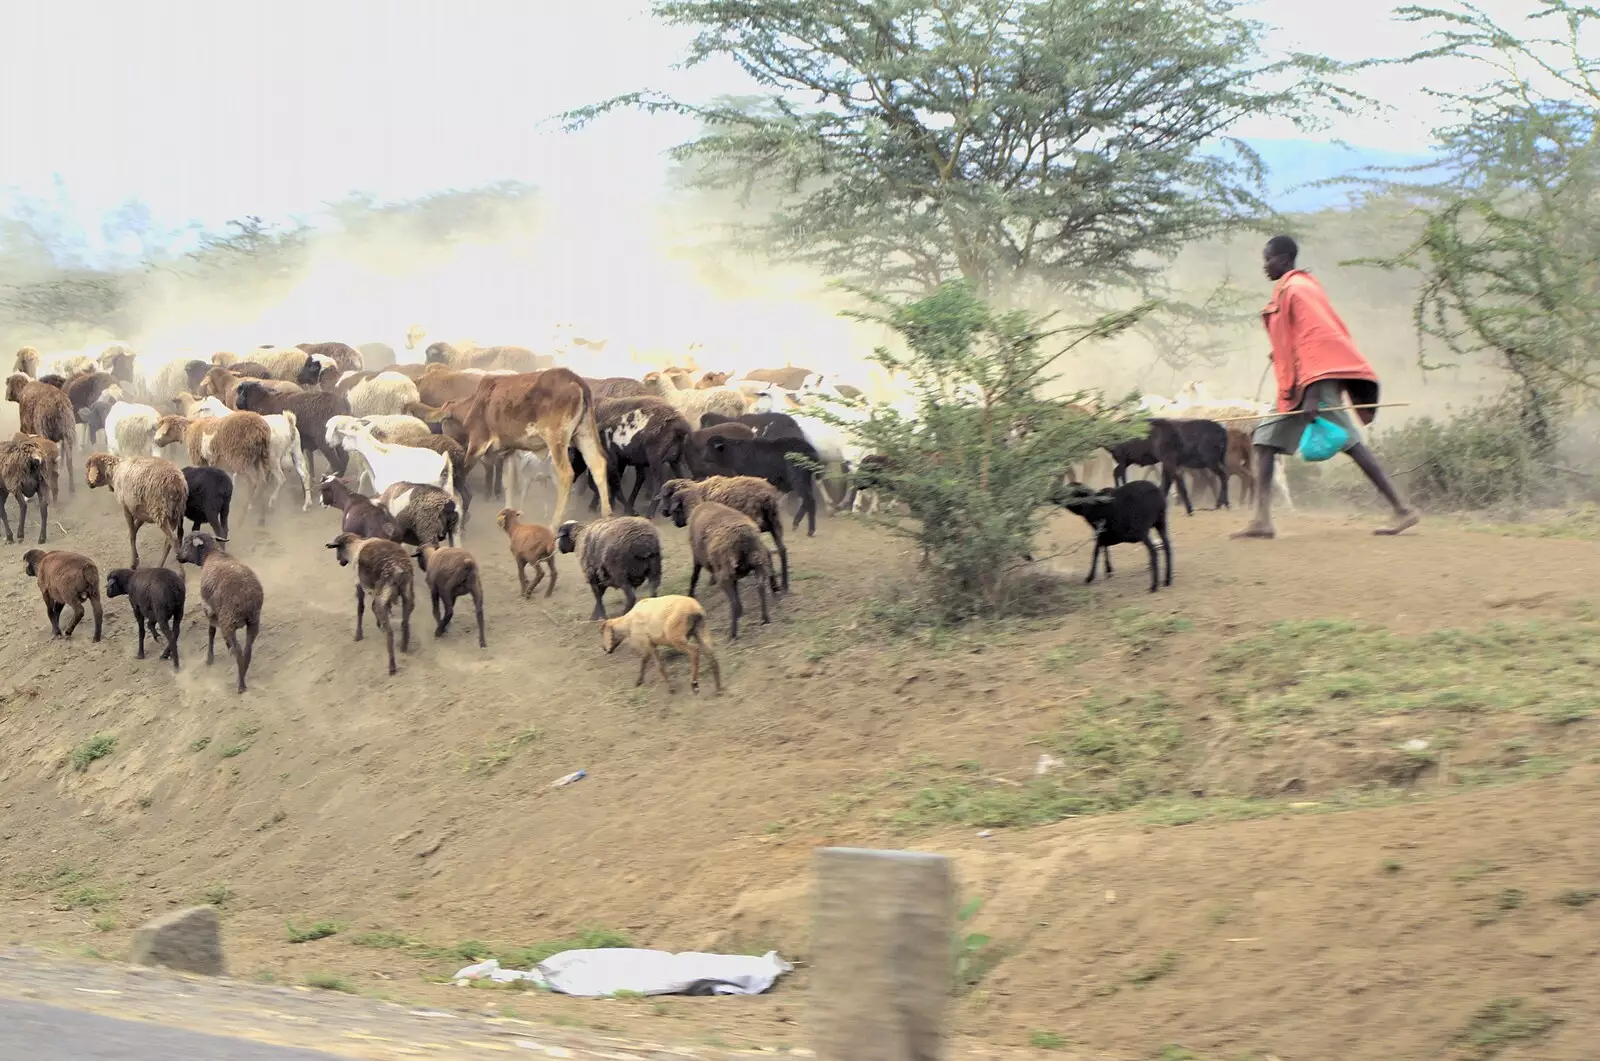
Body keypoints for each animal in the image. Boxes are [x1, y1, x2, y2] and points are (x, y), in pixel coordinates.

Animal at [175, 531, 262, 697]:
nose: (178, 556)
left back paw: (240, 684)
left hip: (228, 620)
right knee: (247, 650)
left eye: (187, 541)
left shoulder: (209, 609)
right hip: (254, 621)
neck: (212, 554)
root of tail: (247, 601)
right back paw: (242, 672)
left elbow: (211, 632)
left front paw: (210, 658)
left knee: (238, 650)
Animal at [321, 534, 412, 675]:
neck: (354, 547)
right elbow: (373, 607)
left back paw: (392, 667)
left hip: (384, 594)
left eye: (337, 549)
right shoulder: (375, 591)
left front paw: (358, 635)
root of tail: (399, 569)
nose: (339, 561)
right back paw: (403, 646)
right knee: (405, 622)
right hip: (406, 593)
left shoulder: (359, 585)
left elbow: (361, 609)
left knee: (390, 632)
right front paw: (378, 623)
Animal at [681, 499, 774, 640]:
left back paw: (733, 634)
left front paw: (690, 595)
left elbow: (694, 577)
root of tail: (744, 539)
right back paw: (765, 619)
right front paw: (741, 611)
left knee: (733, 602)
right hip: (757, 563)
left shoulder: (697, 557)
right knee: (761, 587)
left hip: (725, 573)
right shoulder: (734, 575)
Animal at [1049, 483, 1177, 598]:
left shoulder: (1101, 532)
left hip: (1141, 529)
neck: (1090, 506)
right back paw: (1167, 580)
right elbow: (1104, 548)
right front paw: (1108, 570)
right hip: (1160, 522)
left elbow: (1096, 551)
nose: (1053, 496)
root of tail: (1157, 495)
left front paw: (1090, 577)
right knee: (1167, 547)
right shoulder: (1106, 534)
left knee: (1153, 551)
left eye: (1070, 492)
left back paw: (1154, 586)